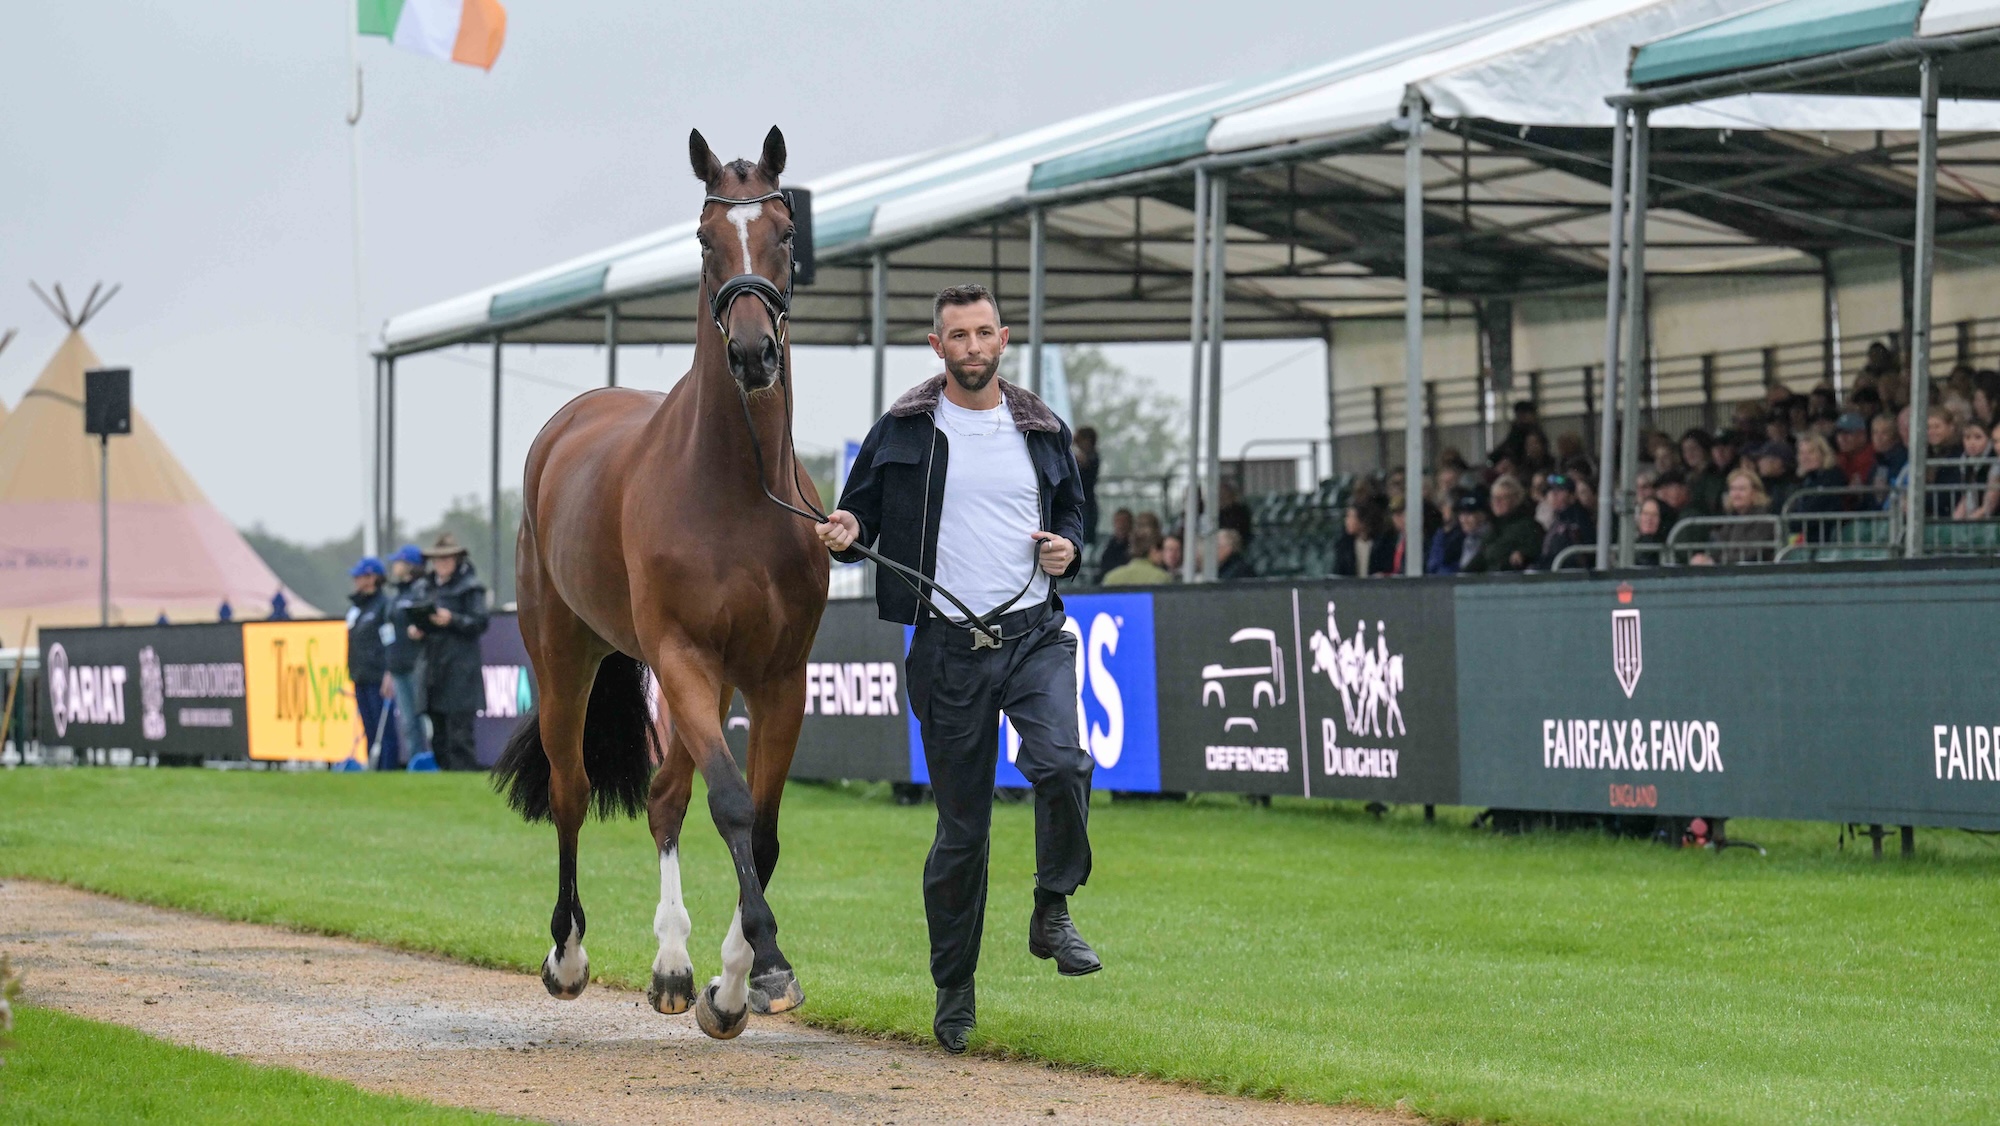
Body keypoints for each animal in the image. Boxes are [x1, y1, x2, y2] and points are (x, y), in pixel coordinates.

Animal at [493, 125, 829, 1041]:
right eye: (707, 241)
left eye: (784, 233)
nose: (752, 353)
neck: (738, 488)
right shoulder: (680, 656)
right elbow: (734, 806)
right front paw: (765, 960)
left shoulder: (778, 676)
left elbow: (765, 828)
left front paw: (735, 983)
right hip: (566, 658)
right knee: (574, 790)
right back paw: (570, 955)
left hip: (707, 686)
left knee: (665, 795)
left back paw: (675, 969)